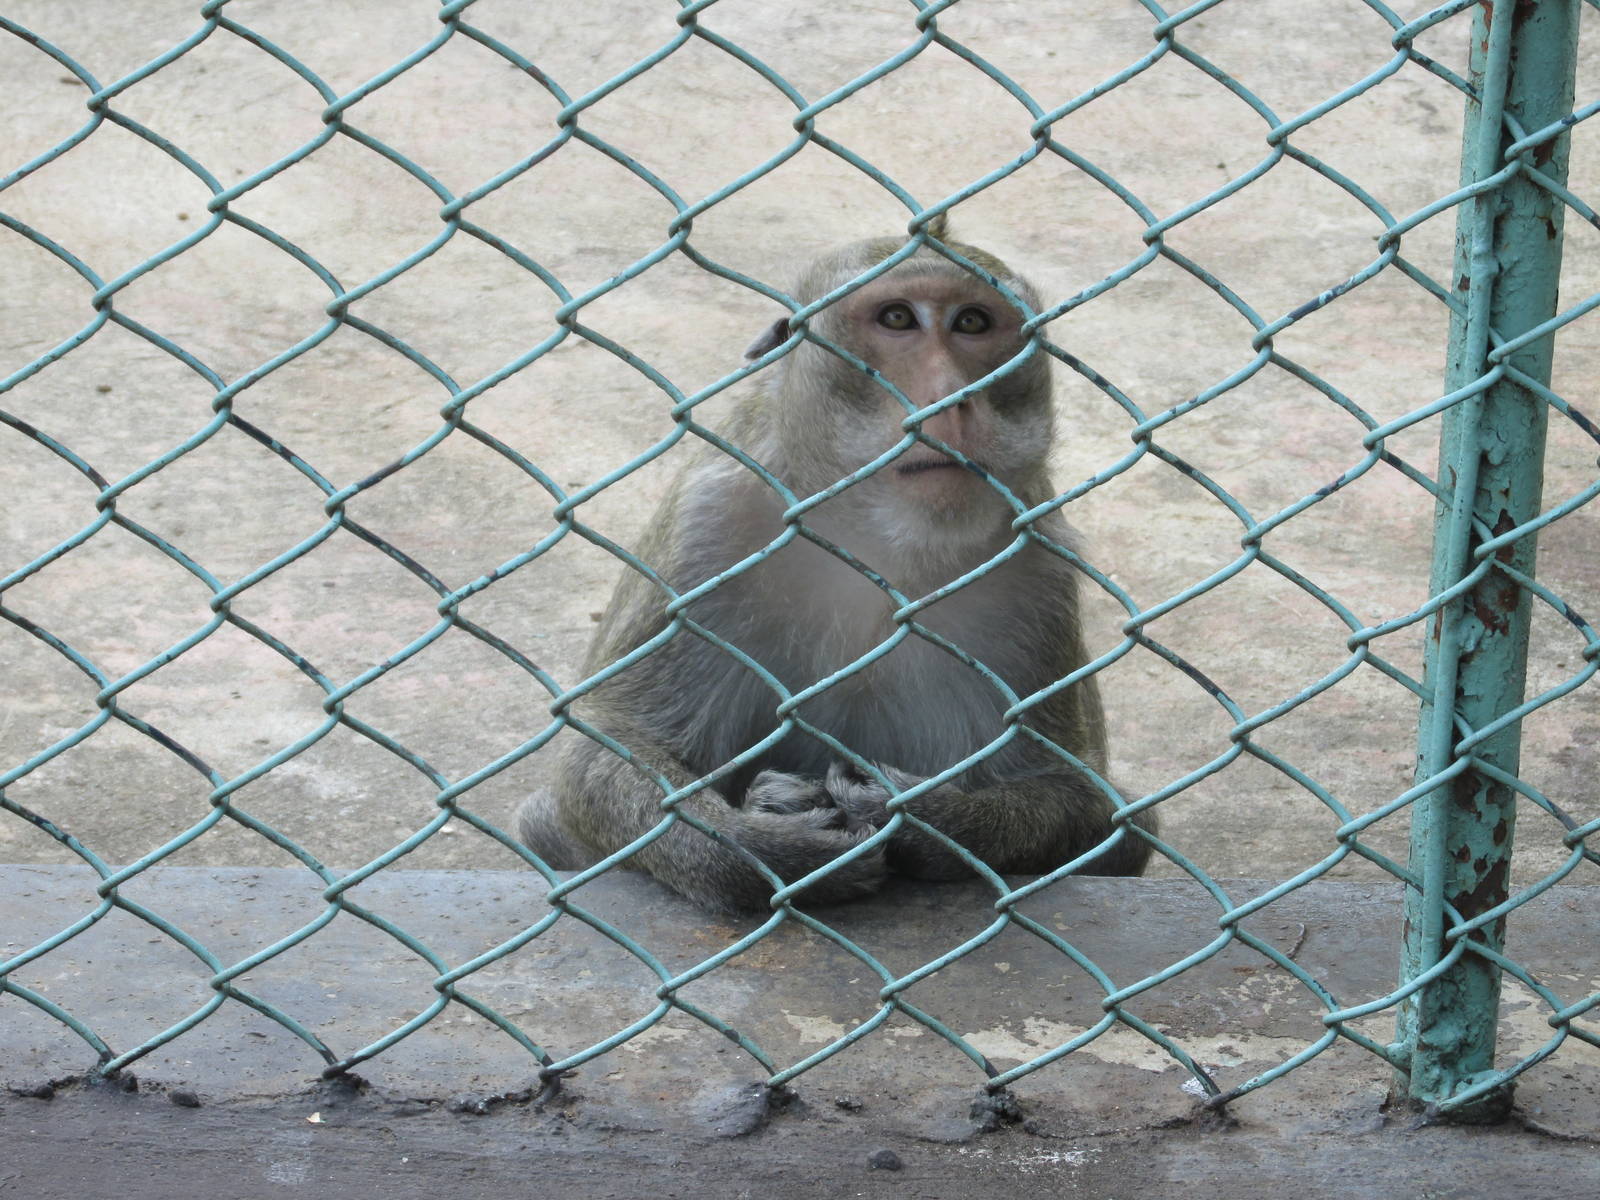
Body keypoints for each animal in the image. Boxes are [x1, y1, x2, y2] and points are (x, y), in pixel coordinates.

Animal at [517, 217, 1156, 911]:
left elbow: (1091, 805)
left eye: (972, 323)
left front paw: (926, 818)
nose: (950, 397)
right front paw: (766, 848)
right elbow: (604, 743)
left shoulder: (1040, 570)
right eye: (898, 317)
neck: (876, 540)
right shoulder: (704, 528)